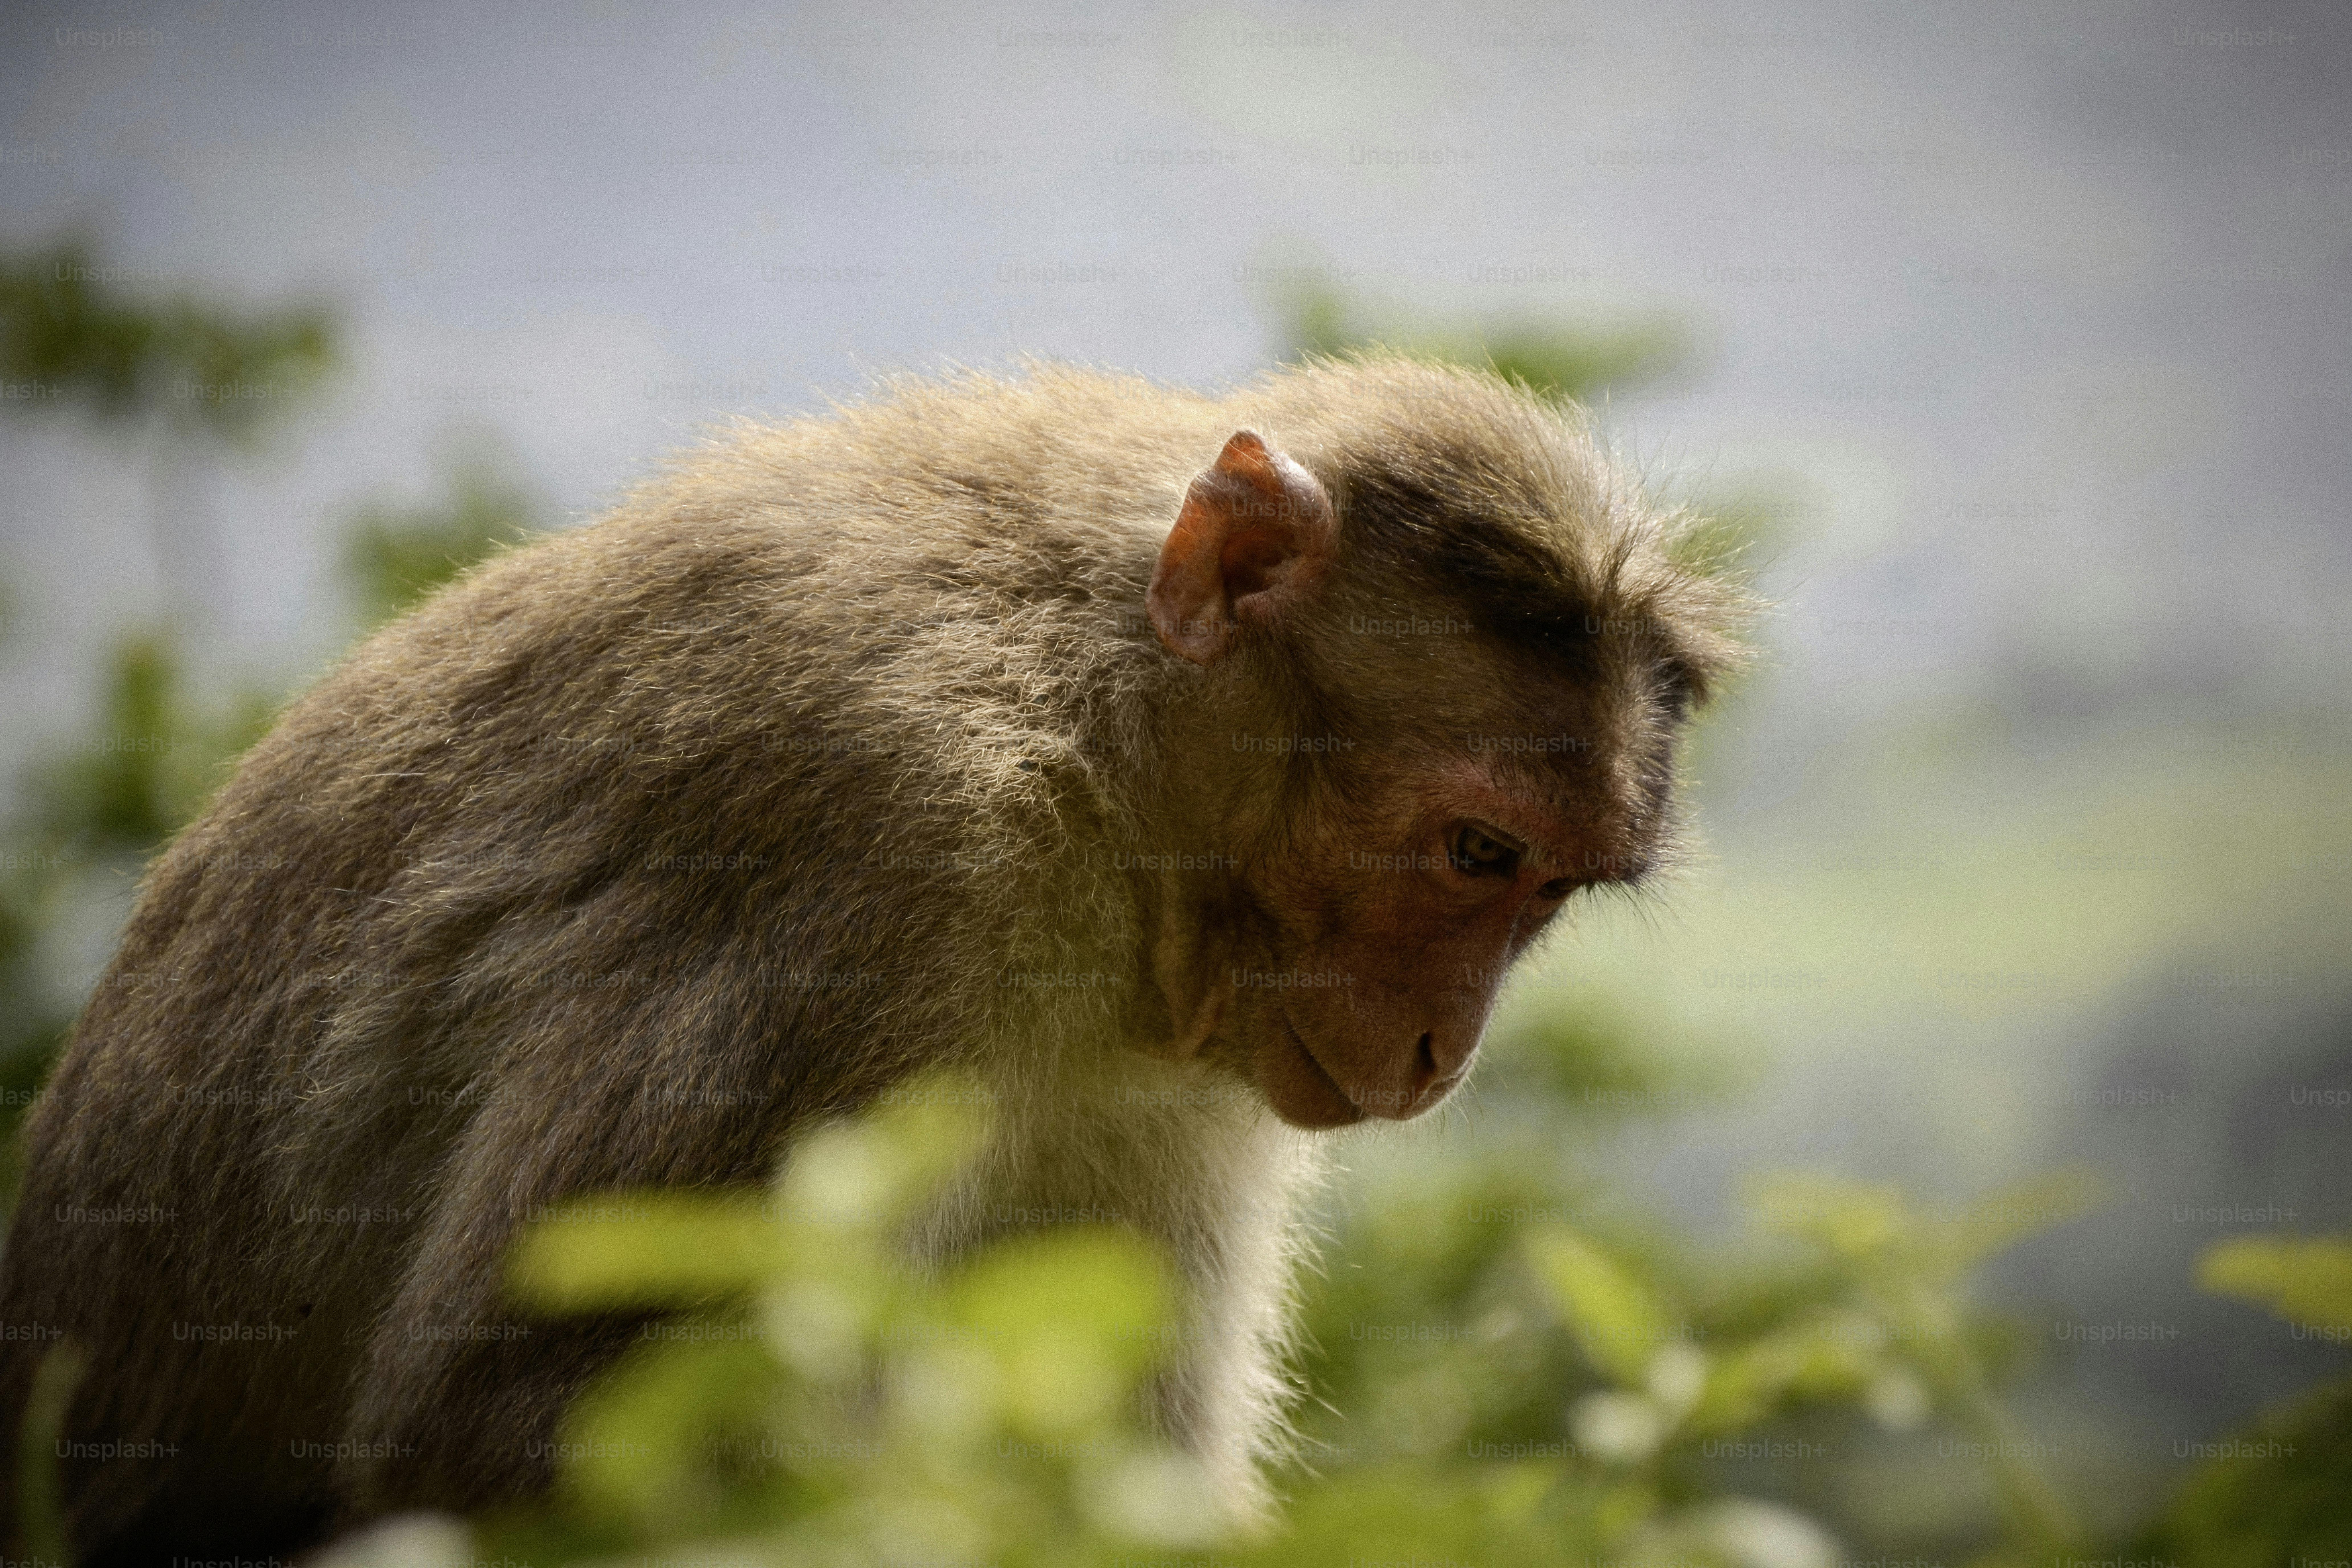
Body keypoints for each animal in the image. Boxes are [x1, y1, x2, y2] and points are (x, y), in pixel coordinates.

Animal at [0, 353, 1746, 1563]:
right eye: (1474, 854)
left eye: (1547, 890)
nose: (1445, 1045)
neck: (1092, 725)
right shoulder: (873, 847)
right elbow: (509, 1428)